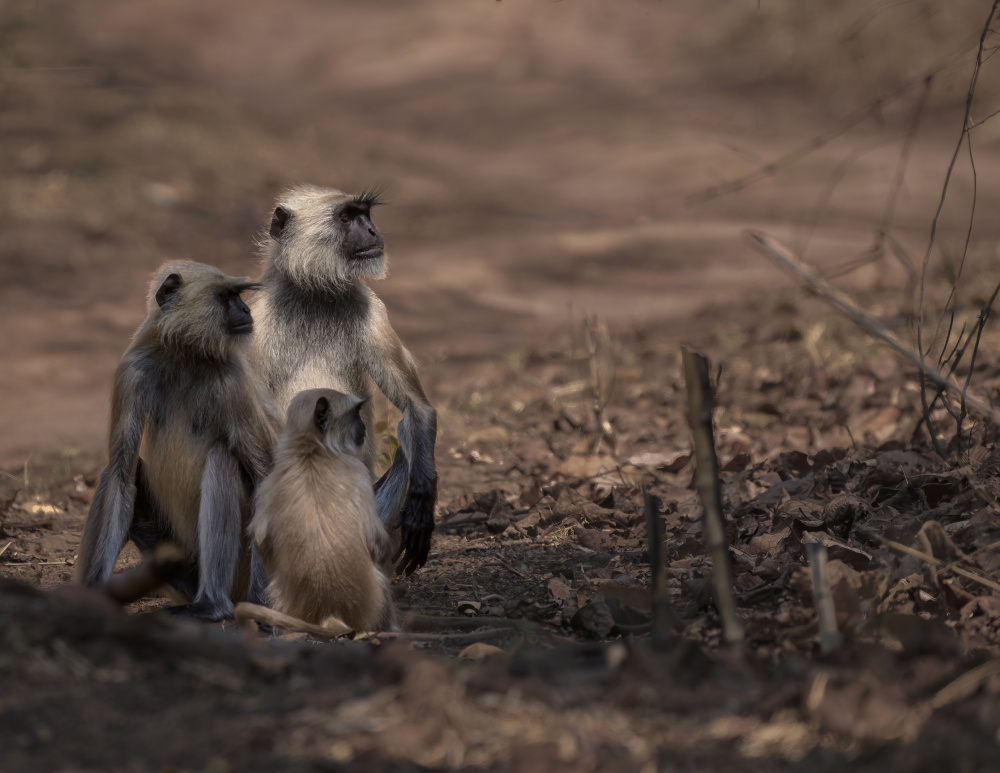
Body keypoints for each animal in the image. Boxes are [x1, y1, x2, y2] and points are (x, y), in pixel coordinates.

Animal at [75, 262, 280, 620]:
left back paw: (213, 604)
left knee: (222, 457)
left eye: (237, 296)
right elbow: (121, 478)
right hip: (176, 563)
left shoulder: (232, 381)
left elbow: (264, 477)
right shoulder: (131, 371)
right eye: (225, 297)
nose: (245, 310)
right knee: (113, 474)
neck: (185, 355)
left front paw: (260, 608)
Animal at [248, 390, 396, 632]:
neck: (313, 452)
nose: (364, 427)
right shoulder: (358, 472)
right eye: (354, 414)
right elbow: (376, 540)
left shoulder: (267, 483)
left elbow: (260, 540)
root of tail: (330, 612)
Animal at [250, 185, 438, 572]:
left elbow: (418, 409)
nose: (371, 231)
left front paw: (422, 505)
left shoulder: (372, 310)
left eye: (366, 216)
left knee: (407, 438)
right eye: (347, 218)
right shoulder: (254, 322)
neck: (314, 295)